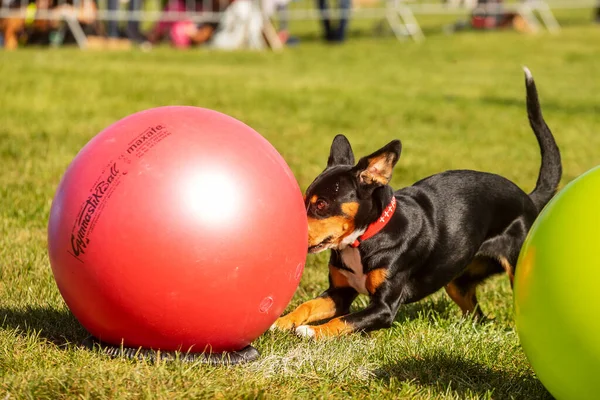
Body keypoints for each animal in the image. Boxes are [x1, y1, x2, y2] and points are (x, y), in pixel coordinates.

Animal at [272, 68, 564, 338]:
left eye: (321, 204)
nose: (293, 233)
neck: (367, 237)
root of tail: (527, 198)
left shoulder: (384, 308)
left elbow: (344, 321)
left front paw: (312, 332)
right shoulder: (339, 292)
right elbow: (308, 306)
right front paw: (281, 322)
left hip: (515, 268)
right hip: (456, 280)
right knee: (478, 315)